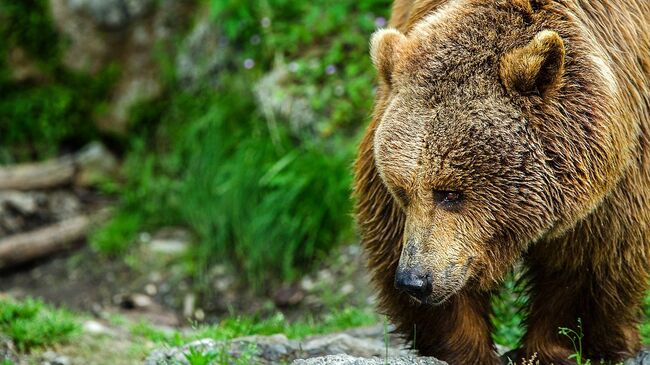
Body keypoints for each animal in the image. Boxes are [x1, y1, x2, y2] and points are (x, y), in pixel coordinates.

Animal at [354, 0, 648, 364]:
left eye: (450, 193)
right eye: (401, 191)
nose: (414, 281)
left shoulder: (618, 171)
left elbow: (590, 262)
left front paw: (555, 347)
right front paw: (466, 348)